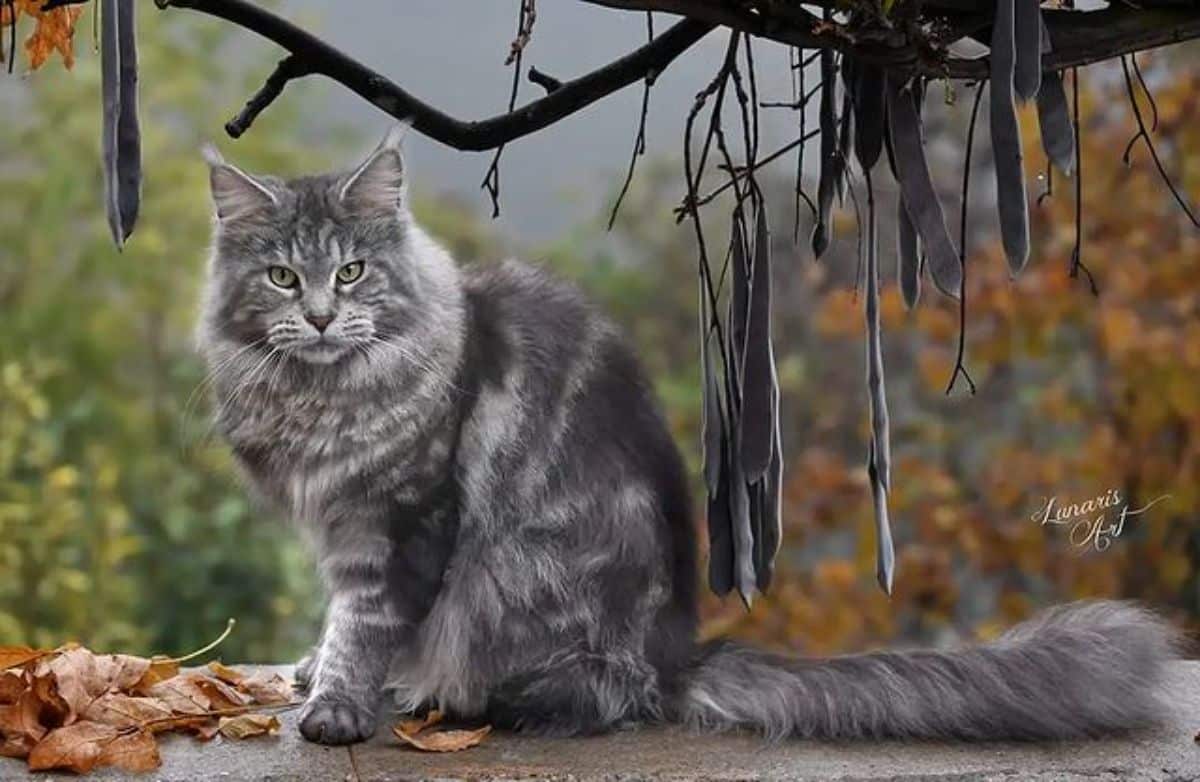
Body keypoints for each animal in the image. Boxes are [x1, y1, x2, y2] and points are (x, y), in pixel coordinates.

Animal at [199, 126, 1180, 743]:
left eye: (353, 273)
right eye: (283, 277)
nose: (322, 317)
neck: (321, 397)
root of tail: (675, 656)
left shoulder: (400, 522)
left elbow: (366, 624)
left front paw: (339, 708)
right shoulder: (338, 527)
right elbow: (339, 623)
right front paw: (314, 671)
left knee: (587, 695)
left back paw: (454, 695)